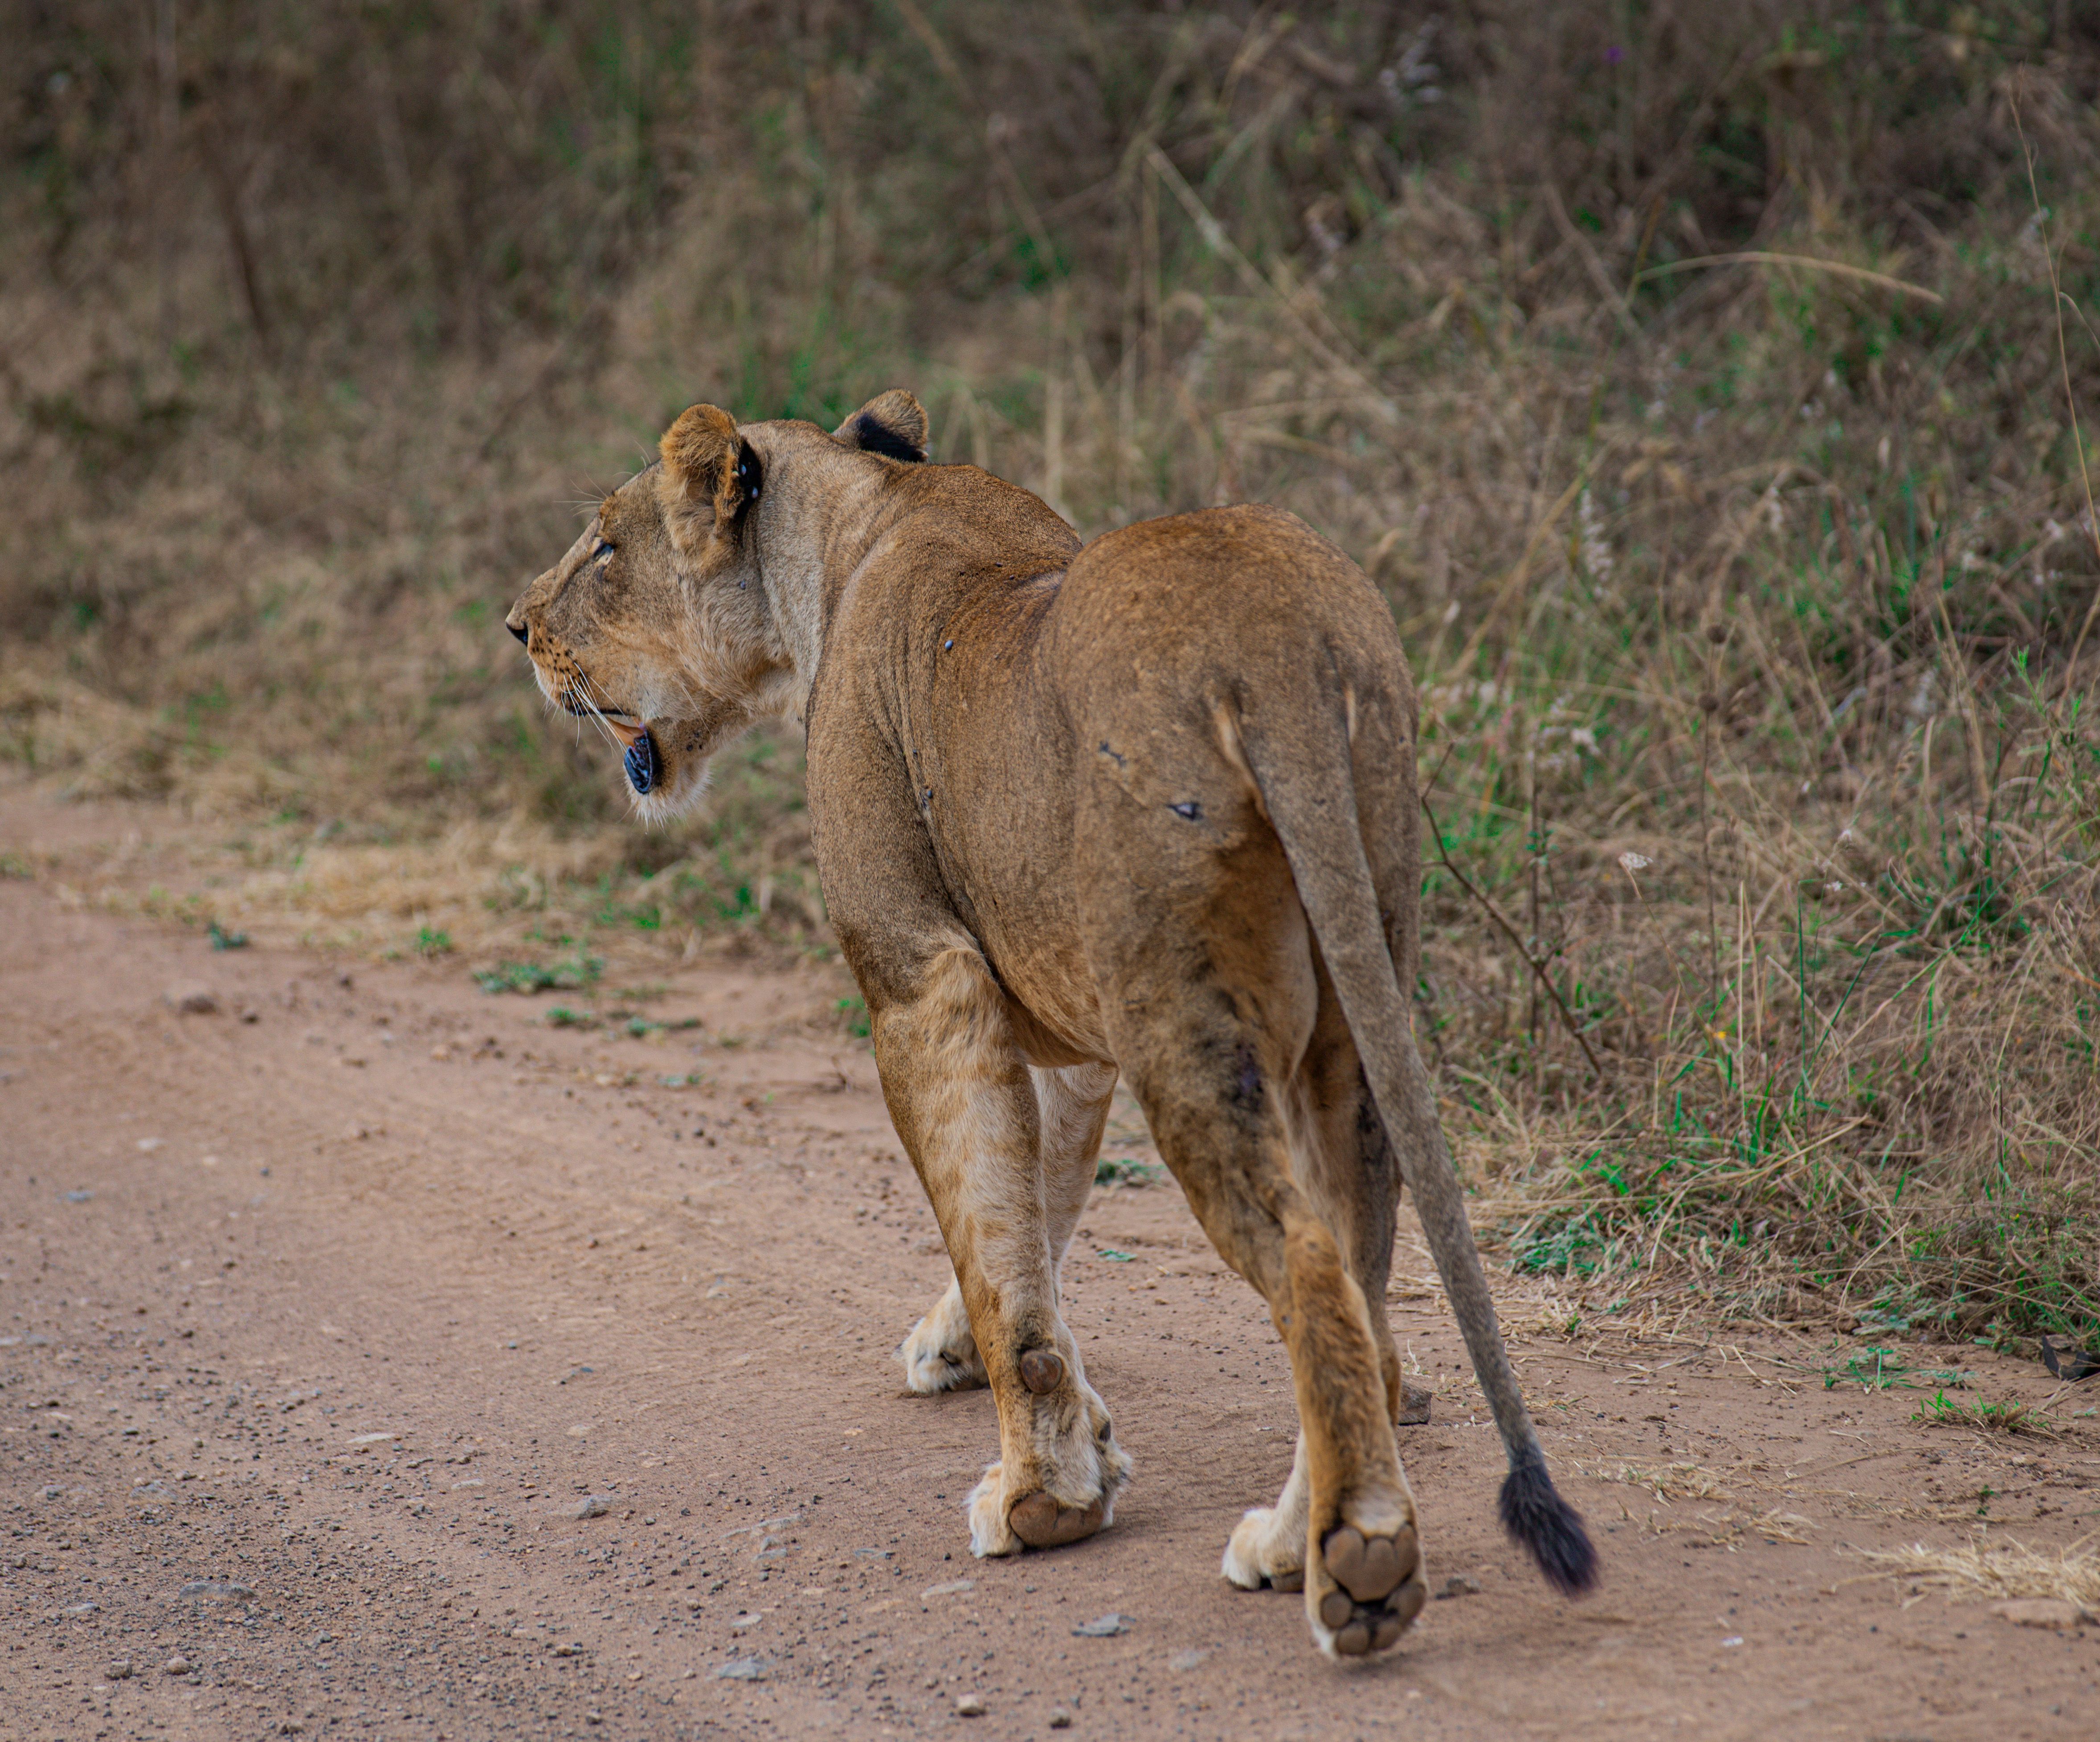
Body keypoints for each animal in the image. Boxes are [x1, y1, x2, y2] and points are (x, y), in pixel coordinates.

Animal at [505, 390, 1596, 1657]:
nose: (516, 626)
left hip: (1186, 1025)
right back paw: (1291, 1536)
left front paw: (1042, 1496)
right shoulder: (1071, 1030)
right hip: (1347, 995)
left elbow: (989, 1233)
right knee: (1362, 1269)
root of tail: (1279, 638)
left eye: (605, 546)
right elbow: (1039, 1202)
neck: (844, 533)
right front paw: (1003, 1381)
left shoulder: (919, 978)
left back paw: (1357, 1562)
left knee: (1309, 1265)